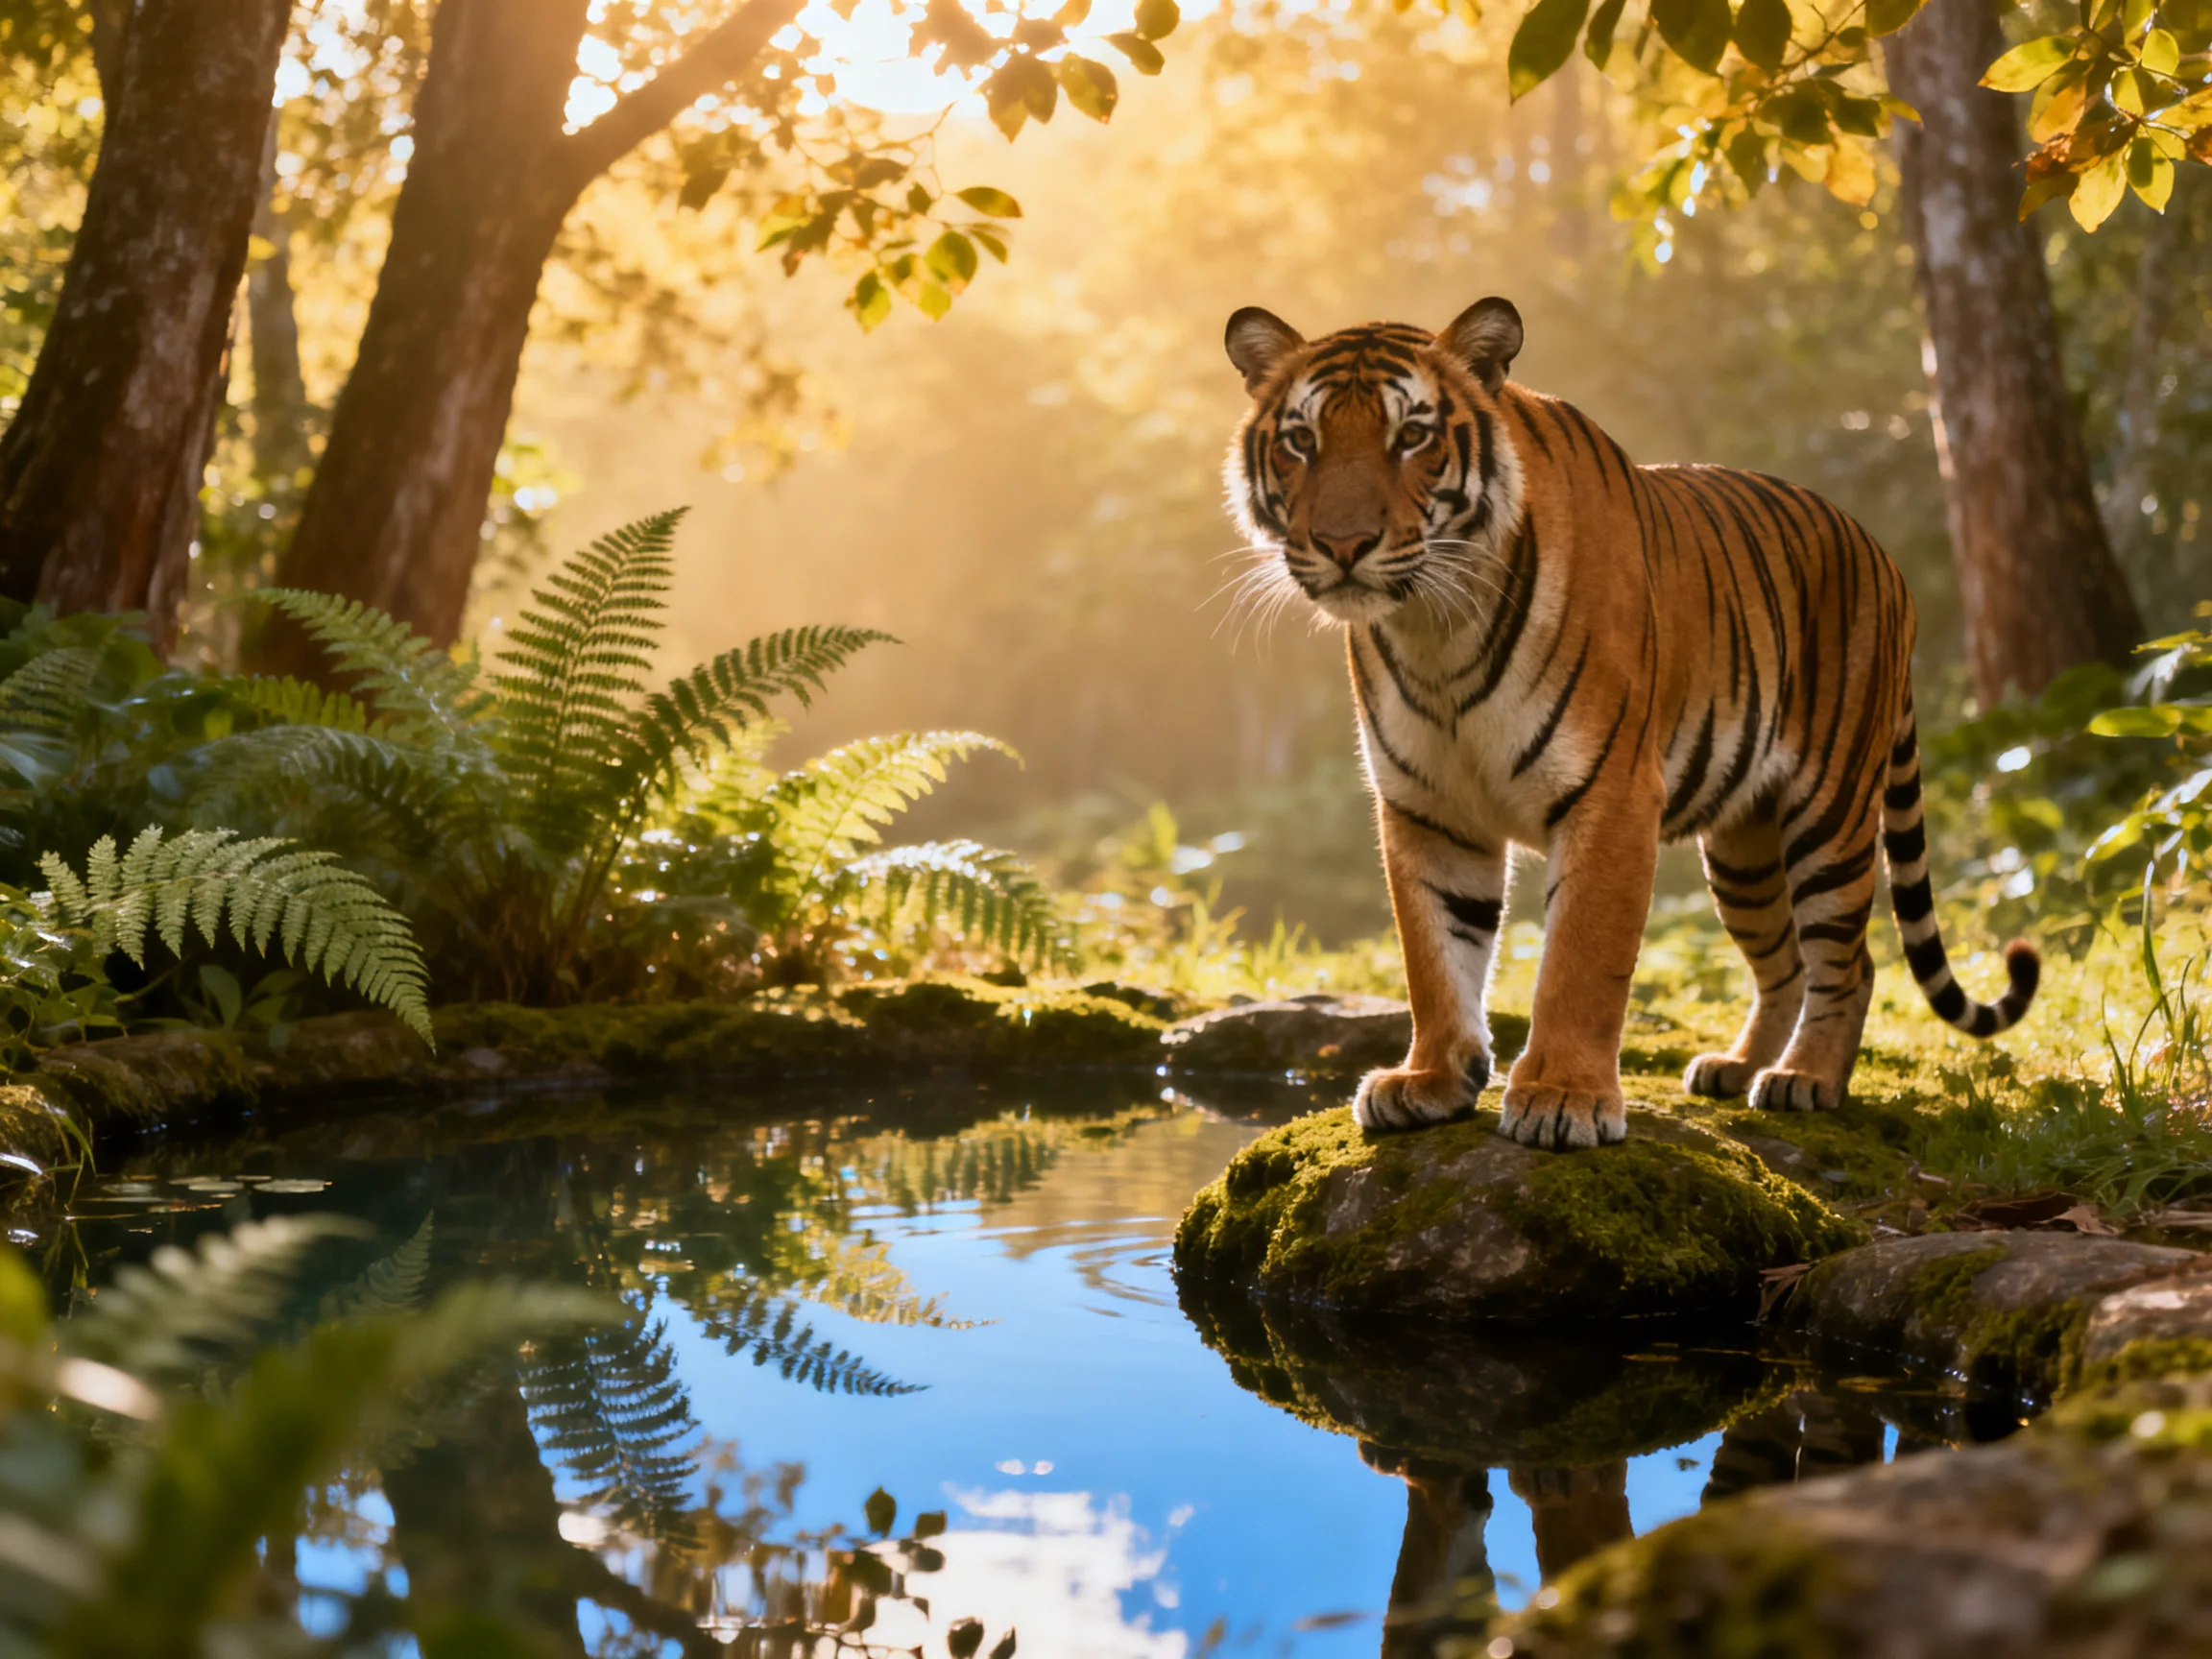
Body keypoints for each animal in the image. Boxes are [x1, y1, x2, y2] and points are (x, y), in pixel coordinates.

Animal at [1221, 297, 2037, 1151]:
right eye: (1301, 441)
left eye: (1411, 435)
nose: (1342, 545)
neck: (1435, 628)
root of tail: (1883, 553)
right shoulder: (1428, 808)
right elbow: (1435, 955)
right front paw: (1431, 1081)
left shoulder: (1608, 794)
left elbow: (1580, 961)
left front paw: (1562, 1098)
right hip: (1743, 851)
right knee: (1783, 962)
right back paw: (1737, 1067)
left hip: (1831, 812)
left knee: (1851, 960)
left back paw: (1805, 1079)